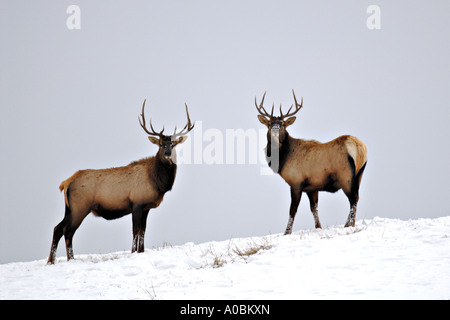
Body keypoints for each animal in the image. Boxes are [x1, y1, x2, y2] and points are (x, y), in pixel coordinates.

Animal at [48, 99, 194, 262]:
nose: (168, 154)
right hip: (80, 207)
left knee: (57, 228)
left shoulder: (146, 207)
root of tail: (66, 183)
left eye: (173, 144)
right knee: (68, 231)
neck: (157, 182)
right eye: (161, 144)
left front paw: (141, 251)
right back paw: (70, 259)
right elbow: (135, 231)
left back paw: (51, 261)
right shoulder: (136, 203)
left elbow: (143, 231)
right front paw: (133, 252)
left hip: (70, 208)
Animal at [255, 91, 368, 234]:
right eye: (269, 124)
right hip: (359, 174)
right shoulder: (312, 187)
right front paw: (318, 227)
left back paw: (350, 225)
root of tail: (360, 148)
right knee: (356, 197)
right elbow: (314, 208)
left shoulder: (296, 182)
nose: (275, 130)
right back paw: (348, 224)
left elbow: (292, 210)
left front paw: (287, 232)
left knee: (352, 199)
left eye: (283, 124)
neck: (283, 158)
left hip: (345, 176)